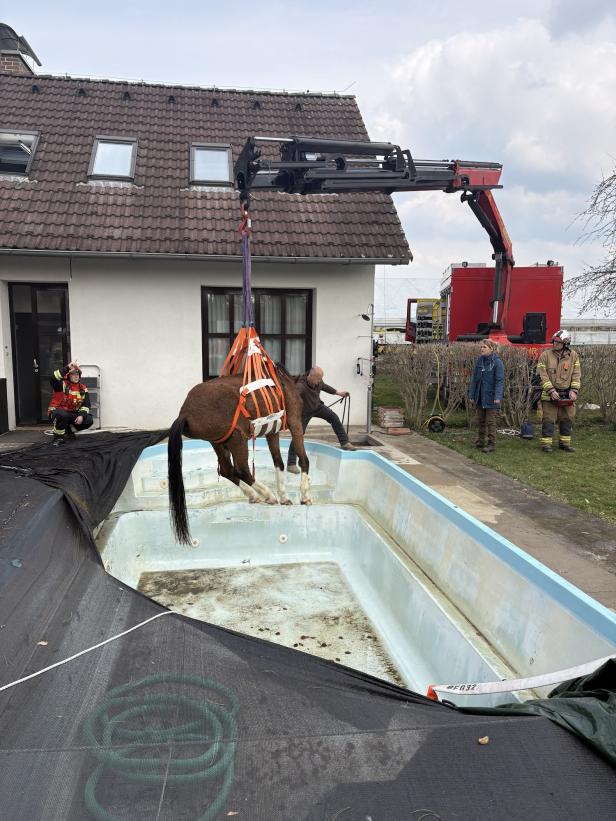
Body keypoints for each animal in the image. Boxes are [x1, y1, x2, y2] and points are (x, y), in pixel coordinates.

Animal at [167, 365, 311, 545]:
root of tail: (185, 412)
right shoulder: (294, 422)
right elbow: (304, 460)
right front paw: (304, 495)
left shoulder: (272, 432)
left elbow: (279, 462)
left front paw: (284, 496)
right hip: (238, 438)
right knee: (242, 470)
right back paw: (267, 494)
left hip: (219, 442)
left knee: (227, 470)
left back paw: (253, 494)